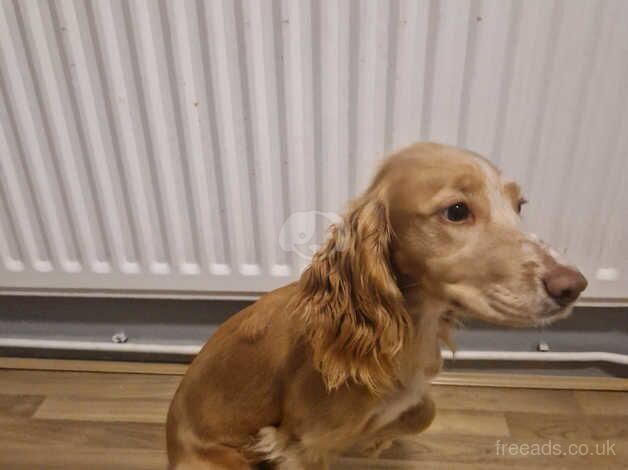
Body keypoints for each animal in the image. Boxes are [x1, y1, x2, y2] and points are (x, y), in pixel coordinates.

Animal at [167, 141, 588, 468]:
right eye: (456, 211)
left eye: (520, 205)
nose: (574, 286)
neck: (409, 326)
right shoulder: (303, 444)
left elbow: (424, 411)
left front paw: (377, 439)